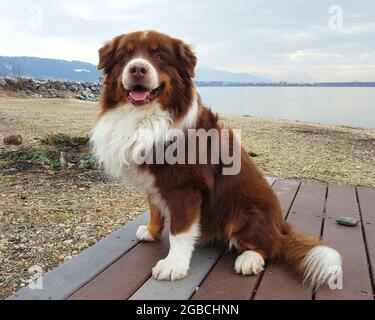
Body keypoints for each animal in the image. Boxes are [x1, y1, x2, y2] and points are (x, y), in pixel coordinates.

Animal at [91, 30, 344, 288]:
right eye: (125, 56)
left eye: (159, 56)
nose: (137, 69)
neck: (145, 117)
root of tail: (280, 225)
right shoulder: (154, 180)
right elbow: (154, 208)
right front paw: (152, 232)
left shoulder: (185, 185)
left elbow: (180, 231)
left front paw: (174, 265)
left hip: (244, 213)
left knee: (272, 246)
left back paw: (249, 259)